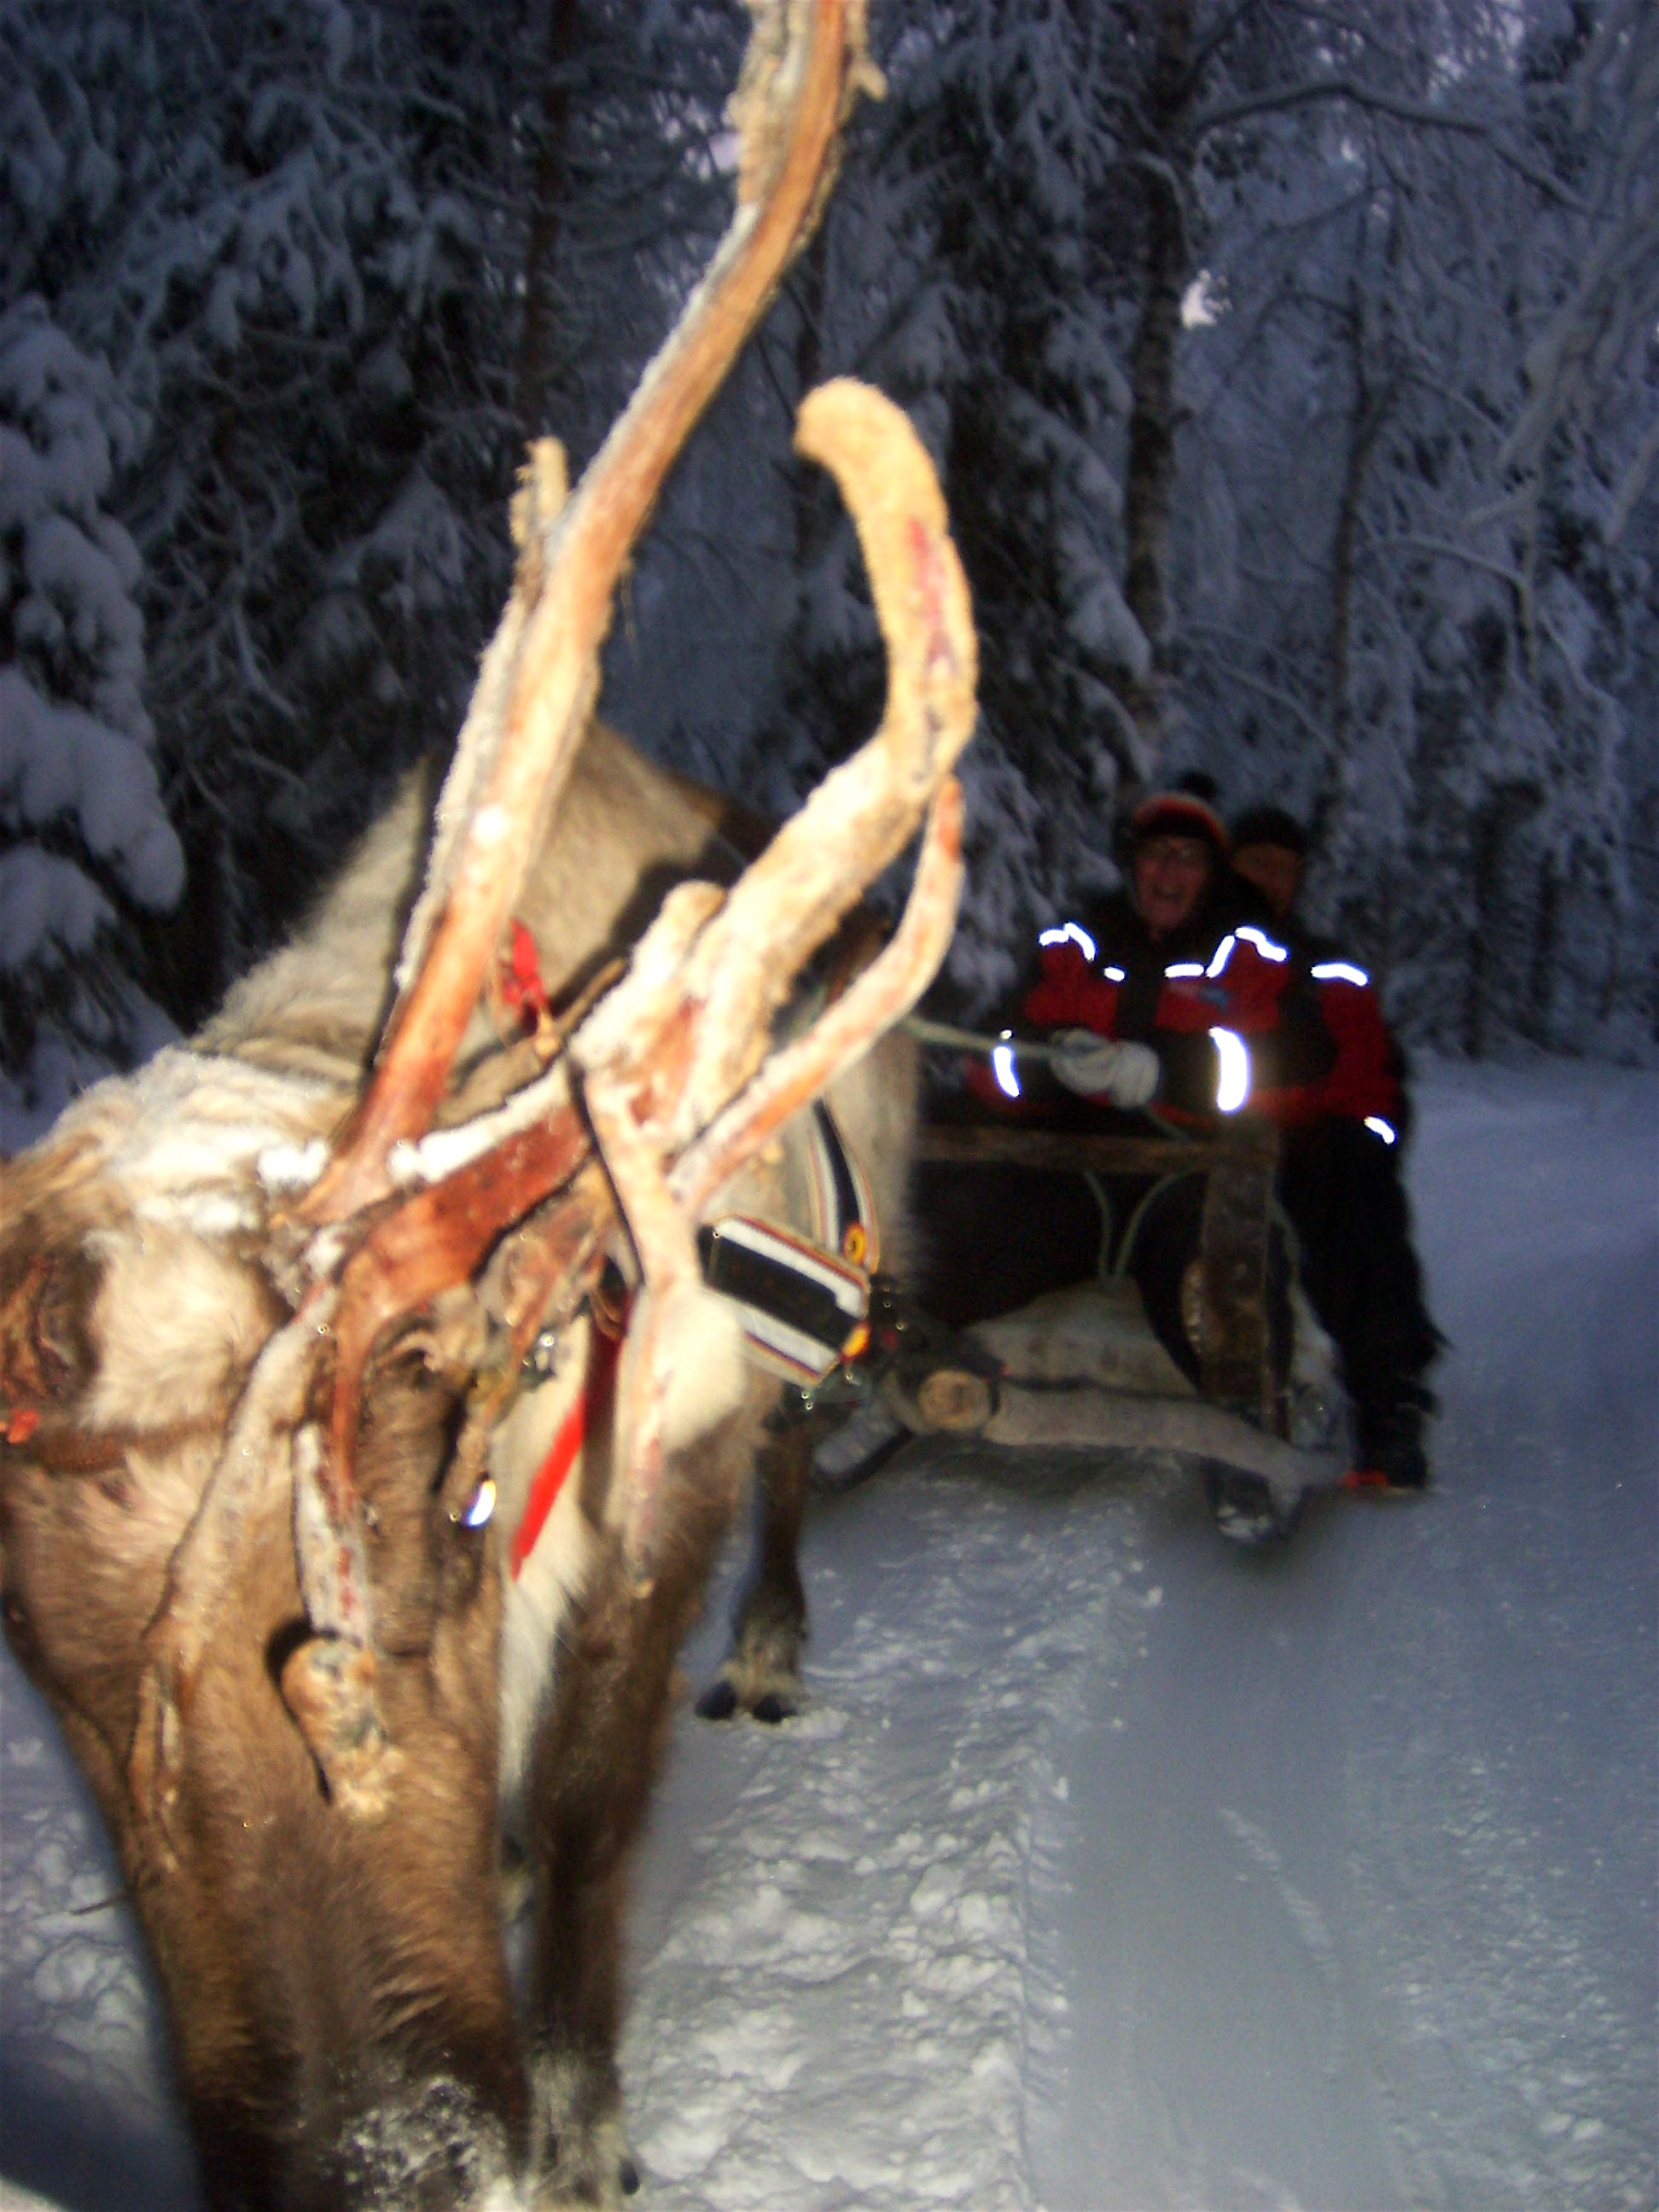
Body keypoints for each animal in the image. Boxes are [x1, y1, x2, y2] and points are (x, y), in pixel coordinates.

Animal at [0, 5, 977, 2205]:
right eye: (52, 1677)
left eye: (432, 1481)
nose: (388, 2164)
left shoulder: (666, 1457)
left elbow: (602, 1817)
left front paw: (583, 2113)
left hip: (826, 1320)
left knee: (807, 1473)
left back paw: (771, 1650)